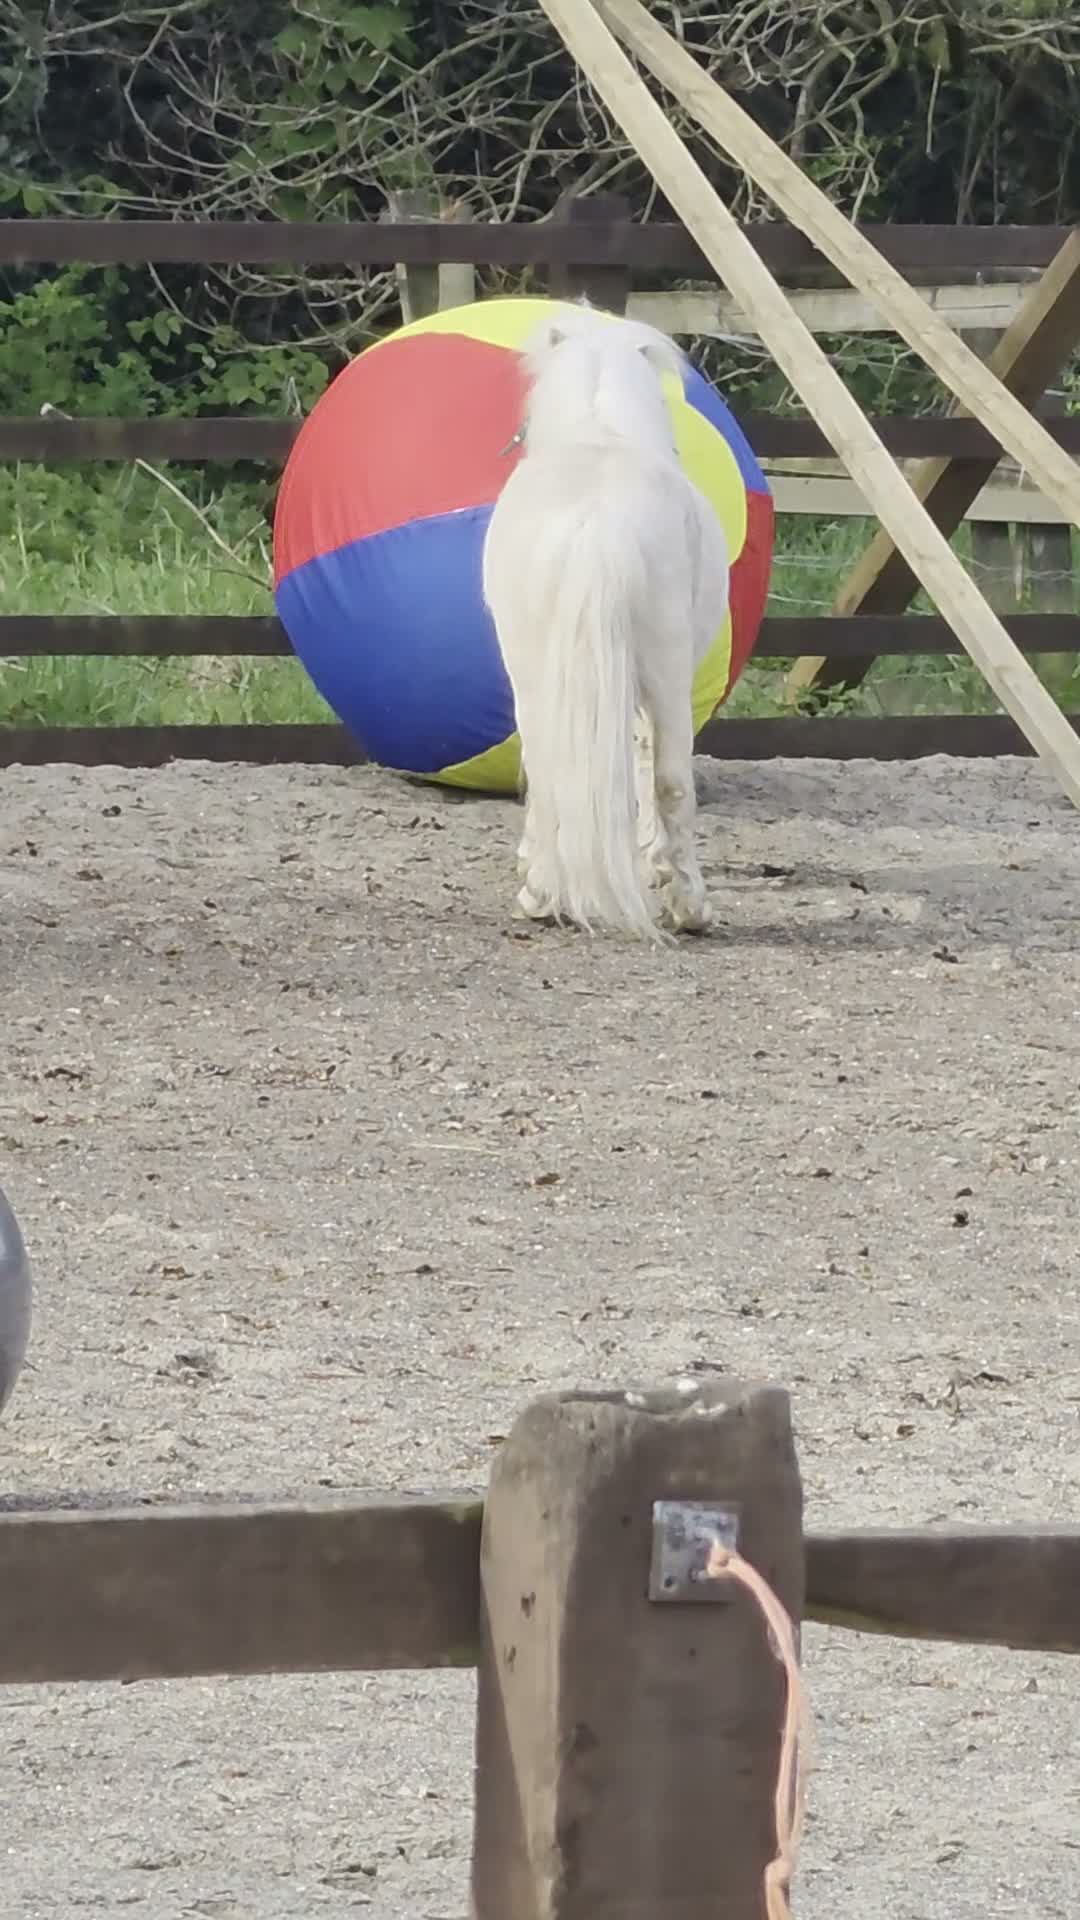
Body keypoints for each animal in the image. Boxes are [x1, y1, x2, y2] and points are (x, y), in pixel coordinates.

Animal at [481, 302, 730, 940]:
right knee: (671, 781)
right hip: (665, 675)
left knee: (547, 773)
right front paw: (656, 867)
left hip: (533, 673)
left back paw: (540, 896)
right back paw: (690, 908)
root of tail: (596, 521)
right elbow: (648, 772)